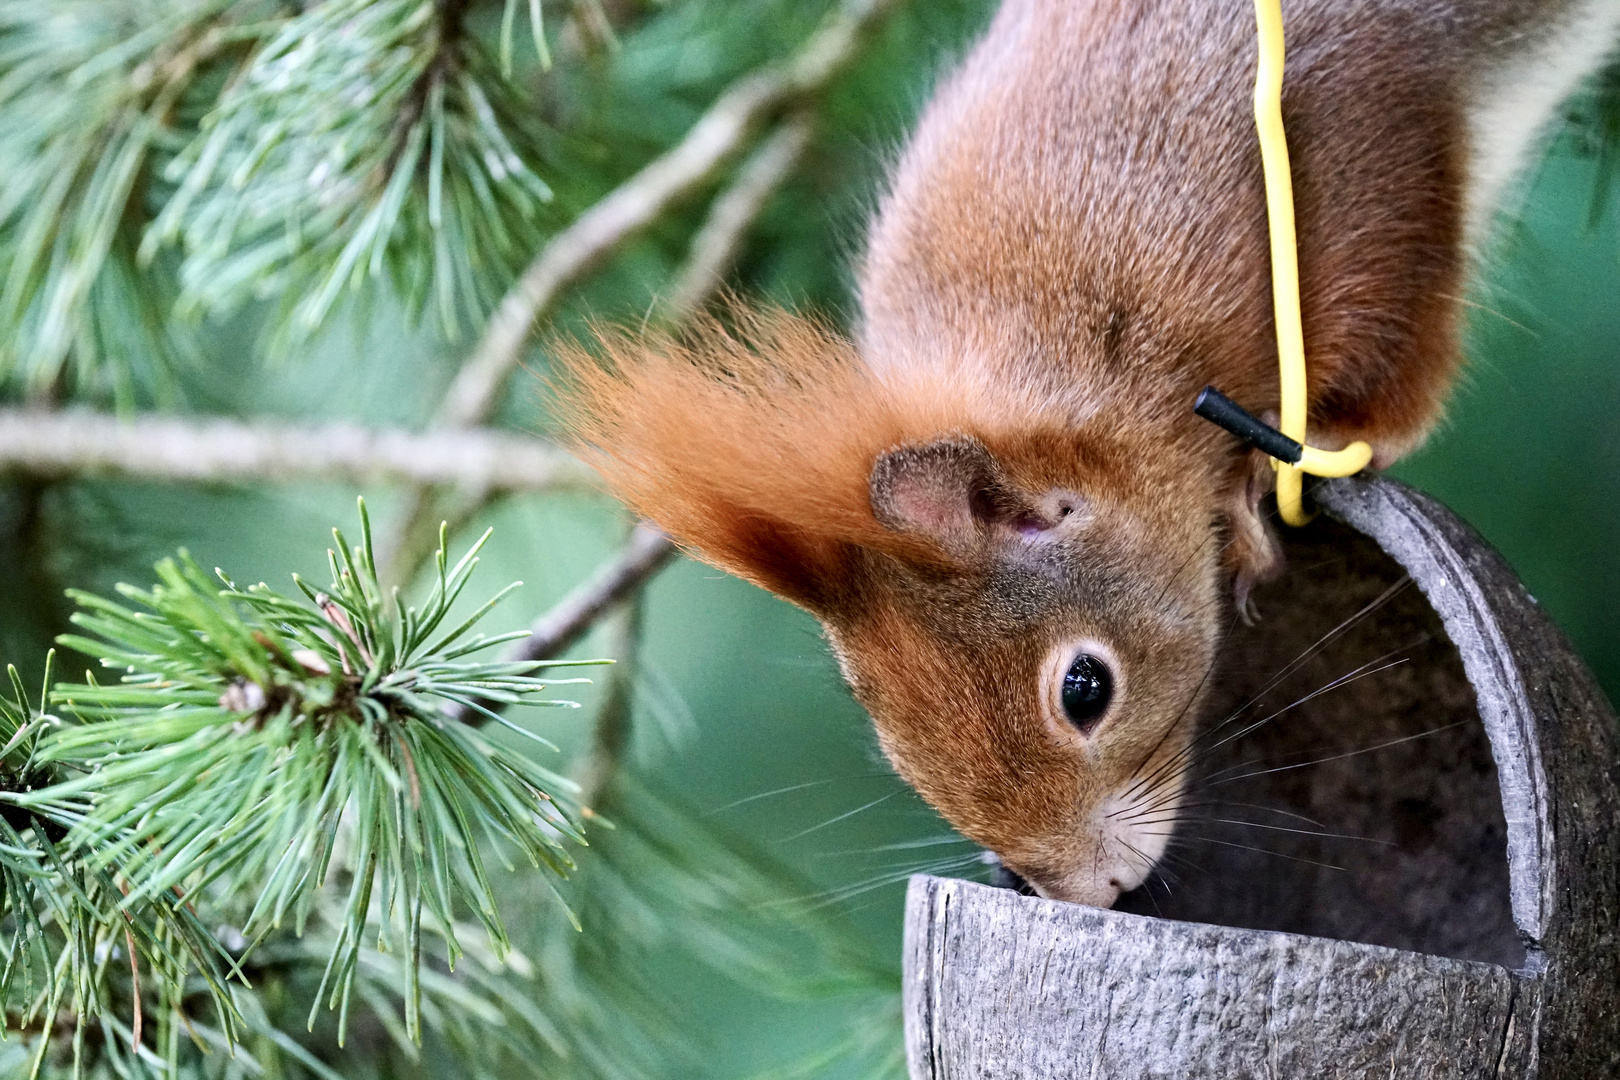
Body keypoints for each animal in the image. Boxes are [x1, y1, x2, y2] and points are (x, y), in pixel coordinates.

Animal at [560, 0, 1620, 906]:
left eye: (1086, 689)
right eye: (893, 745)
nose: (1089, 894)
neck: (1064, 356)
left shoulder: (1356, 163)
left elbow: (1395, 344)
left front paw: (1274, 474)